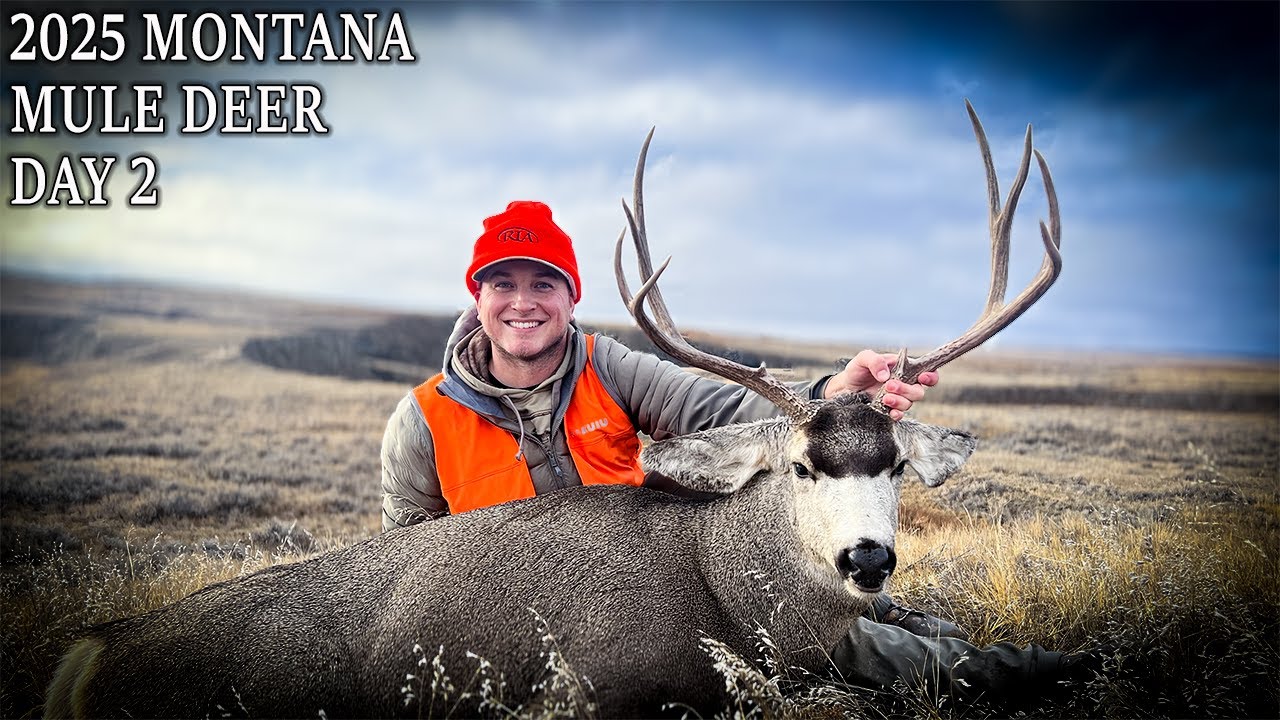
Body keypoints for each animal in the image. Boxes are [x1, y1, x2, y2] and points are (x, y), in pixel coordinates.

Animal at [44, 100, 1060, 719]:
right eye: (804, 466)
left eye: (895, 465)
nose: (868, 559)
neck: (728, 589)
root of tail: (93, 650)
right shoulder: (587, 682)